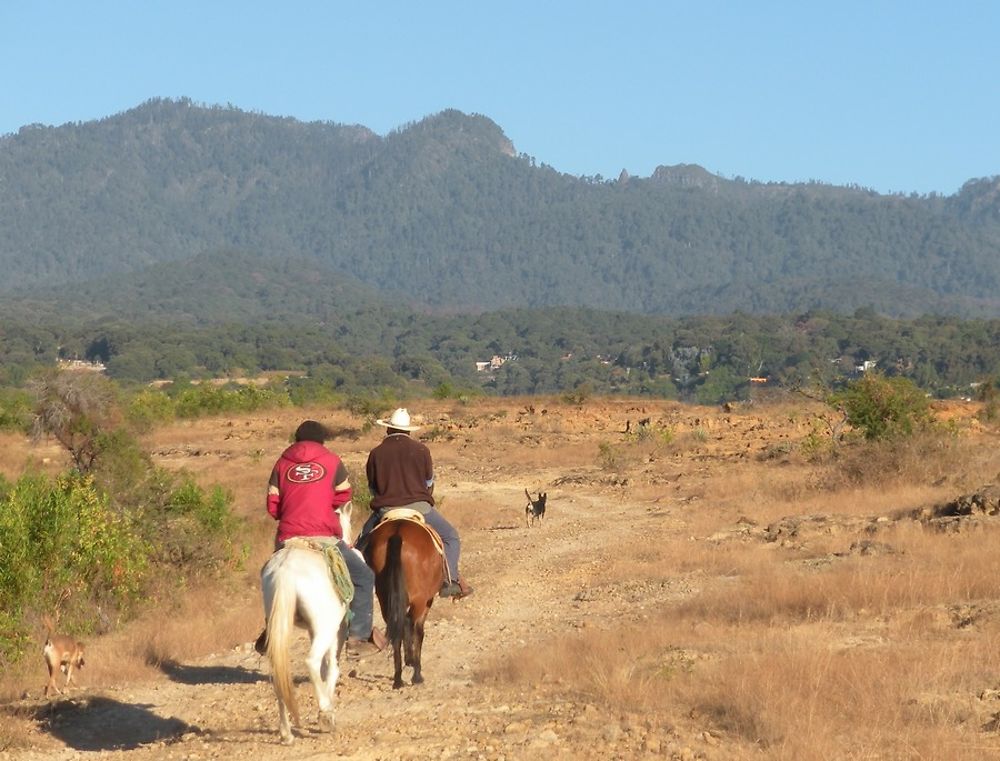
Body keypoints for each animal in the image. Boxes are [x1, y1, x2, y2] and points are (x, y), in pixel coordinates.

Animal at [260, 502, 354, 744]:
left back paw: (286, 733)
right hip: (325, 627)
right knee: (312, 661)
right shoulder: (335, 631)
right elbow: (331, 667)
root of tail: (284, 572)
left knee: (279, 674)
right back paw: (325, 714)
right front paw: (327, 709)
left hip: (280, 627)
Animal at [366, 516, 444, 688]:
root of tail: (398, 531)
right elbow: (419, 633)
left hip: (383, 596)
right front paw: (416, 672)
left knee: (396, 629)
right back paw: (412, 665)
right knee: (409, 624)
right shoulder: (427, 601)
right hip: (419, 599)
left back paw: (398, 679)